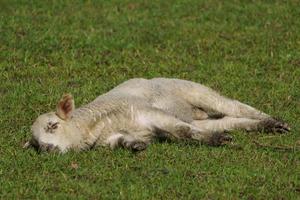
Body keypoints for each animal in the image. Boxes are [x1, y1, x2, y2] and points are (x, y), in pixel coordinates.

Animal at [23, 77, 290, 152]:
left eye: (53, 125)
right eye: (35, 144)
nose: (46, 149)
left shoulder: (150, 114)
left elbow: (181, 131)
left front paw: (218, 141)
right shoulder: (114, 136)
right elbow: (123, 141)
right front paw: (135, 145)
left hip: (196, 91)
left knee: (235, 106)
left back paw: (275, 122)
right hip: (199, 116)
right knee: (231, 121)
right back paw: (264, 127)